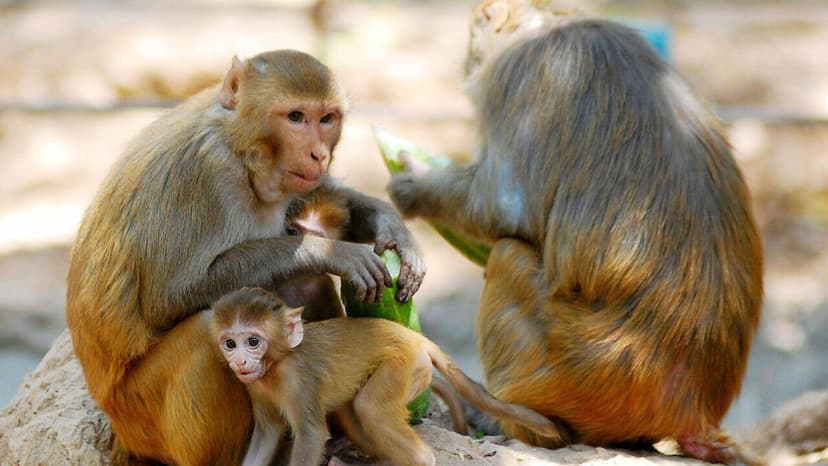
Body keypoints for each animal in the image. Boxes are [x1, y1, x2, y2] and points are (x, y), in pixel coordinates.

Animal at [65, 49, 426, 465]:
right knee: (206, 330)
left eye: (326, 119)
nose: (318, 154)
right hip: (141, 413)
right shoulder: (201, 175)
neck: (240, 150)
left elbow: (324, 196)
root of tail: (116, 425)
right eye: (295, 117)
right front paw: (331, 252)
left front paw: (393, 228)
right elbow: (166, 298)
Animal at [208, 287, 561, 466]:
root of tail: (415, 337)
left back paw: (421, 458)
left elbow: (310, 435)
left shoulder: (299, 381)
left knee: (371, 409)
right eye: (230, 343)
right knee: (354, 413)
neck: (276, 365)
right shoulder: (254, 387)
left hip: (403, 365)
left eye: (253, 341)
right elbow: (267, 435)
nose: (239, 360)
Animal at [386, 1, 764, 464]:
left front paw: (413, 183)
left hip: (576, 374)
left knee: (508, 255)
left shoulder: (517, 77)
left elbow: (503, 206)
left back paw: (513, 422)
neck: (553, 22)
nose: (467, 64)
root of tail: (692, 412)